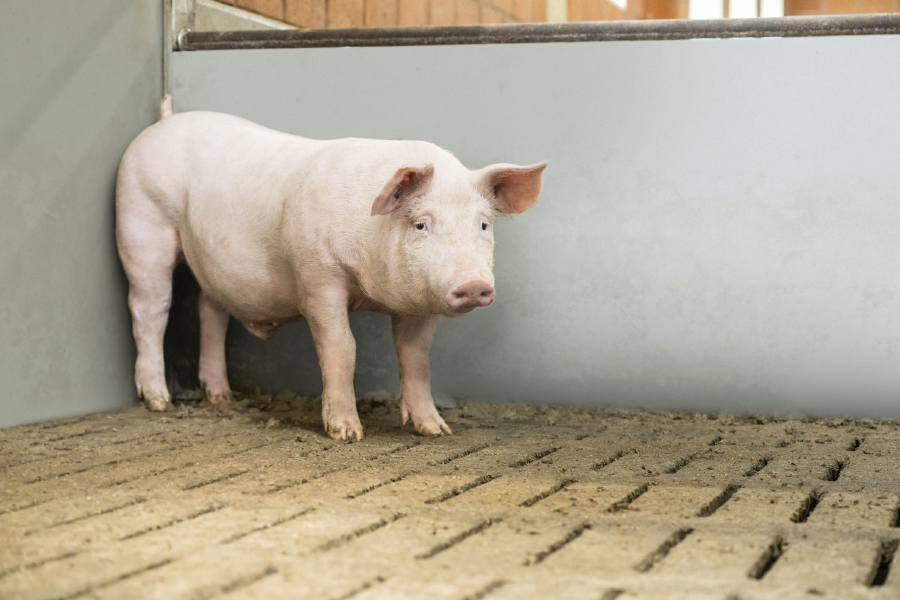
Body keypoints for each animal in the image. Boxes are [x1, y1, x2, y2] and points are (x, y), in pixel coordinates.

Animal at [115, 95, 544, 440]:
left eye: (484, 225)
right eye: (421, 224)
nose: (473, 283)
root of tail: (164, 121)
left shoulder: (419, 304)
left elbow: (416, 356)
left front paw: (436, 430)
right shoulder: (317, 278)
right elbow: (343, 348)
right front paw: (346, 433)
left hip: (212, 264)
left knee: (211, 310)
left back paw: (221, 398)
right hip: (142, 226)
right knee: (149, 309)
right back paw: (158, 401)